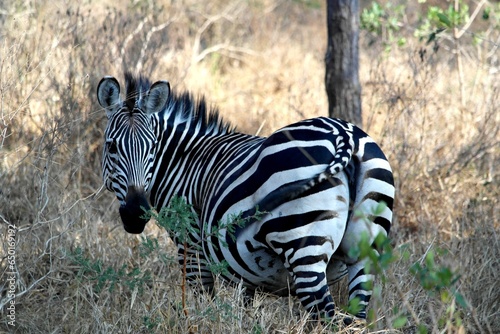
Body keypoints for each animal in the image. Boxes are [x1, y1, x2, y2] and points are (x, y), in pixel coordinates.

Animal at [96, 72, 394, 320]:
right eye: (112, 147)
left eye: (152, 148)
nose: (136, 214)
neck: (184, 163)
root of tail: (344, 135)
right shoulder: (245, 270)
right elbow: (245, 309)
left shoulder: (190, 245)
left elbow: (202, 301)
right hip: (365, 254)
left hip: (304, 248)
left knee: (328, 316)